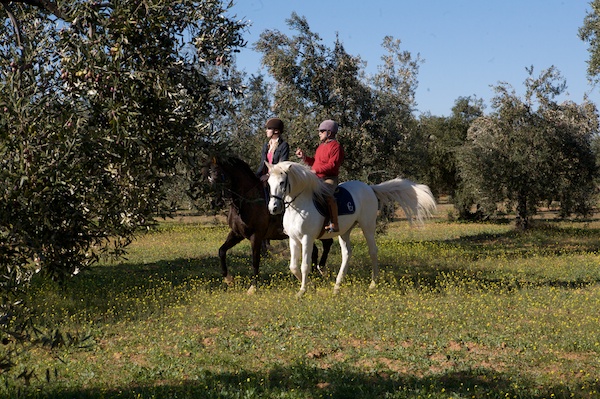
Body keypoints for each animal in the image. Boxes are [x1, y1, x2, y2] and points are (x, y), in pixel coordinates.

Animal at [204, 157, 330, 294]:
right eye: (209, 177)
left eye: (219, 175)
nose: (215, 202)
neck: (246, 201)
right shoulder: (237, 234)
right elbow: (222, 251)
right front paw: (228, 279)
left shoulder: (256, 236)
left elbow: (255, 261)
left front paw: (253, 287)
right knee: (315, 250)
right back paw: (314, 276)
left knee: (327, 244)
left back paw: (321, 270)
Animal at [268, 162, 436, 296]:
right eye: (269, 183)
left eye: (282, 182)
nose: (273, 208)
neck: (299, 206)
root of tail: (369, 188)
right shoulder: (293, 239)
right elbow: (293, 266)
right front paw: (311, 286)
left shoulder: (307, 238)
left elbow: (304, 266)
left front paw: (302, 291)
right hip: (344, 232)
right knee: (347, 254)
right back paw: (337, 286)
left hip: (368, 226)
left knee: (373, 251)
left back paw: (372, 284)